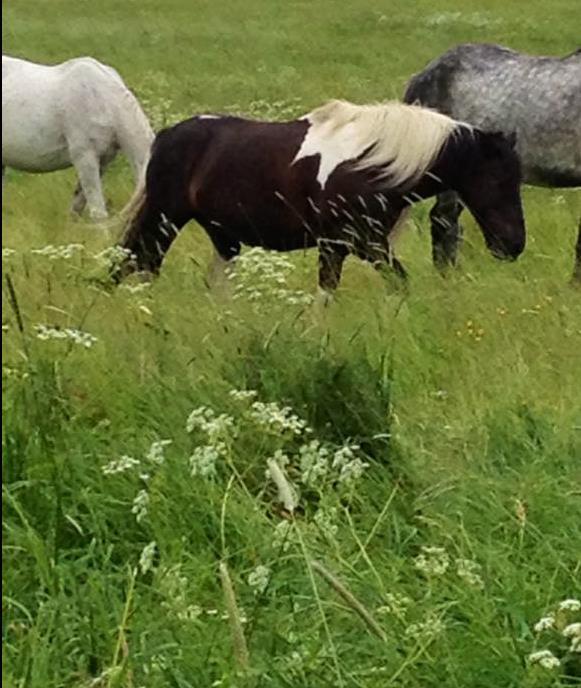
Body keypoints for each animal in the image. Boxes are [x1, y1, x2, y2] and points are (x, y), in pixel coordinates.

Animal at [113, 99, 524, 292]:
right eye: (498, 180)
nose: (514, 245)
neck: (373, 164)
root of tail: (167, 136)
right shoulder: (349, 244)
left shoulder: (361, 245)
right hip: (164, 220)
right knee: (137, 263)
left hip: (222, 238)